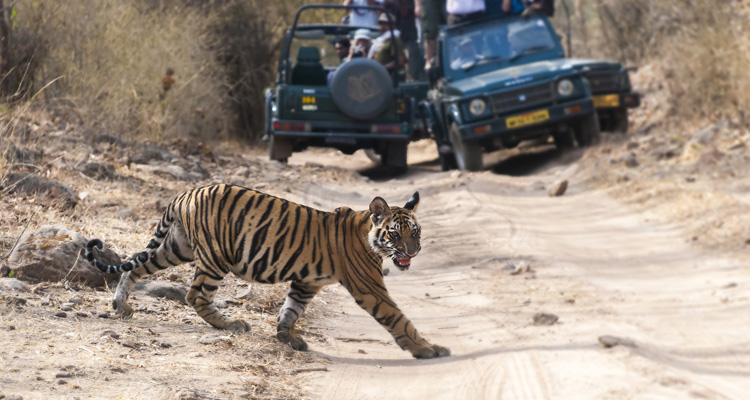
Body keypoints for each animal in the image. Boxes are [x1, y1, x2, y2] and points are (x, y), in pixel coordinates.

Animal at [88, 184, 452, 360]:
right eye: (396, 235)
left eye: (416, 232)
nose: (413, 252)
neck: (369, 235)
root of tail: (185, 192)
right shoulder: (369, 287)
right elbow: (399, 319)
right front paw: (428, 350)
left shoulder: (306, 282)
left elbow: (291, 310)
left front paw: (287, 337)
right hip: (215, 257)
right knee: (195, 295)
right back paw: (231, 324)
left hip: (177, 247)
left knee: (135, 263)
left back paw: (121, 306)